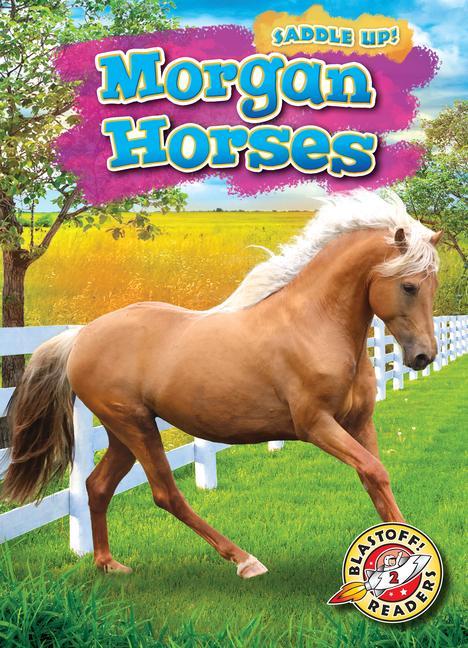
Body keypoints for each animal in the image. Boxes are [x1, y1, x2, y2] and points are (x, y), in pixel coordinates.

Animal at [3, 190, 442, 579]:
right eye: (408, 286)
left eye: (433, 285)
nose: (424, 356)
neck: (314, 325)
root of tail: (80, 336)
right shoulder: (316, 425)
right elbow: (374, 471)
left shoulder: (359, 423)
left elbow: (376, 479)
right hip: (136, 426)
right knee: (166, 494)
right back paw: (245, 561)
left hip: (121, 431)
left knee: (97, 487)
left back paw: (108, 564)